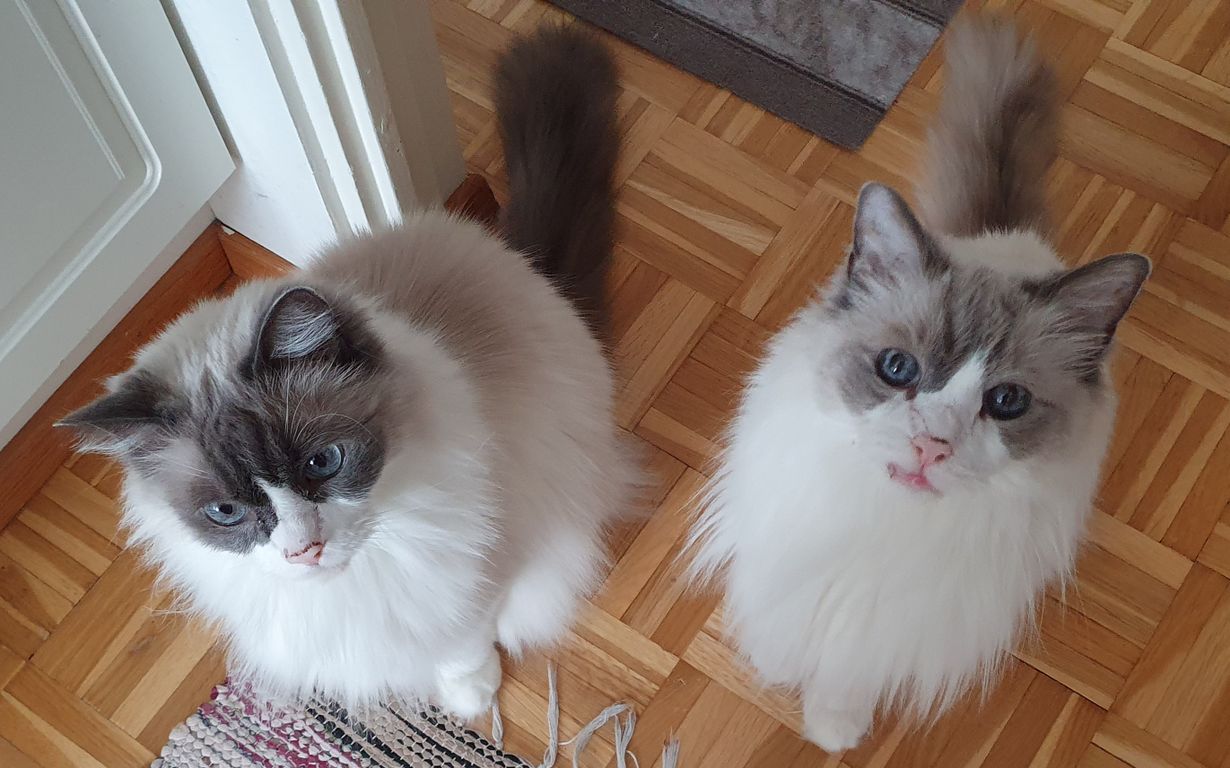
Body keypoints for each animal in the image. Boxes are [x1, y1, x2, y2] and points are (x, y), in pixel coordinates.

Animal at [59, 26, 636, 718]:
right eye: (225, 512)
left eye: (323, 463)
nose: (302, 550)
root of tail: (515, 259)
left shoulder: (479, 565)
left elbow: (464, 637)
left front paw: (471, 699)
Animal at [689, 17, 1150, 753]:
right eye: (897, 369)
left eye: (1007, 402)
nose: (933, 444)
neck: (884, 526)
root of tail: (1004, 235)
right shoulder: (793, 567)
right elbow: (786, 630)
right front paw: (776, 669)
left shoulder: (891, 622)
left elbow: (847, 671)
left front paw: (833, 729)